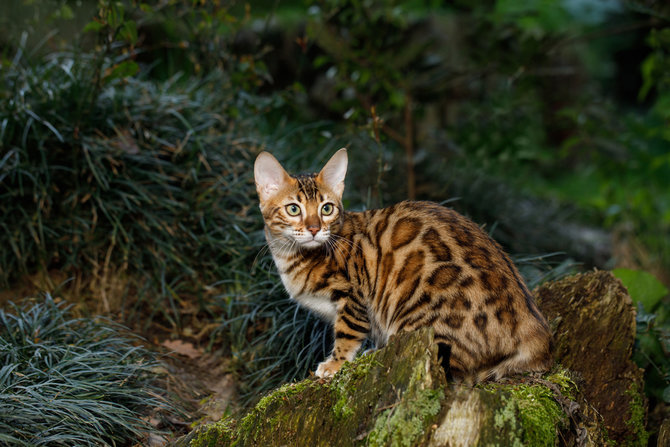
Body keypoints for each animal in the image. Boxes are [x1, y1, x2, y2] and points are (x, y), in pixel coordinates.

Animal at [255, 149, 552, 384]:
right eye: (294, 209)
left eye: (327, 208)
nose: (315, 229)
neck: (292, 256)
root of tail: (537, 330)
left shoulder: (353, 296)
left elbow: (348, 332)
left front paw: (335, 363)